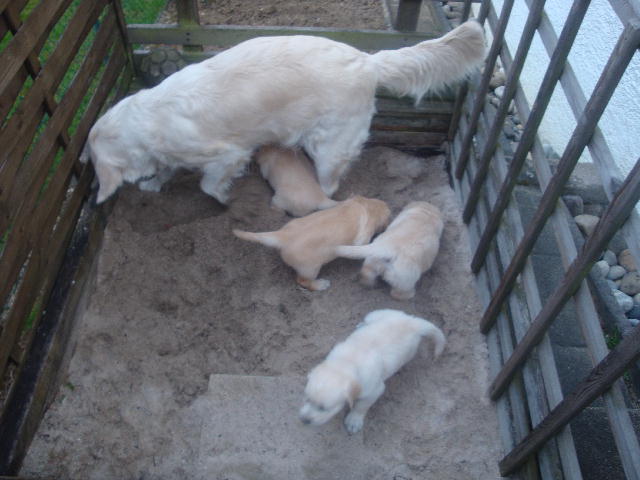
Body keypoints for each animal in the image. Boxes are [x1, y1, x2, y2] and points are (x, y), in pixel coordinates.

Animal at [84, 22, 484, 202]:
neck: (149, 119)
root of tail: (367, 60)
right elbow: (166, 168)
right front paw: (153, 183)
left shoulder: (228, 153)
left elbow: (208, 183)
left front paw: (222, 197)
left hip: (329, 147)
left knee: (330, 186)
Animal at [232, 194, 388, 288]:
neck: (365, 207)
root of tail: (283, 235)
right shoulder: (361, 239)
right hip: (310, 268)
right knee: (302, 281)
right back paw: (321, 285)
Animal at [298, 310, 444, 434]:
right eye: (306, 398)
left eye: (323, 408)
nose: (304, 420)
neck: (346, 363)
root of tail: (412, 321)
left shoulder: (374, 390)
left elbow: (361, 406)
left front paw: (354, 421)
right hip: (377, 314)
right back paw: (361, 325)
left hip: (408, 351)